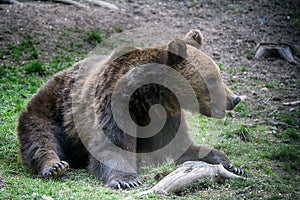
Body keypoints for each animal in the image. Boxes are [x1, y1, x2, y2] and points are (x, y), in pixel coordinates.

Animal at [17, 29, 246, 189]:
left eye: (219, 74)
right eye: (212, 78)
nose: (234, 99)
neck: (147, 98)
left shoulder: (165, 117)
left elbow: (178, 147)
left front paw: (233, 165)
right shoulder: (112, 104)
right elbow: (113, 144)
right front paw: (127, 180)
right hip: (53, 107)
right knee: (40, 137)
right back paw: (54, 166)